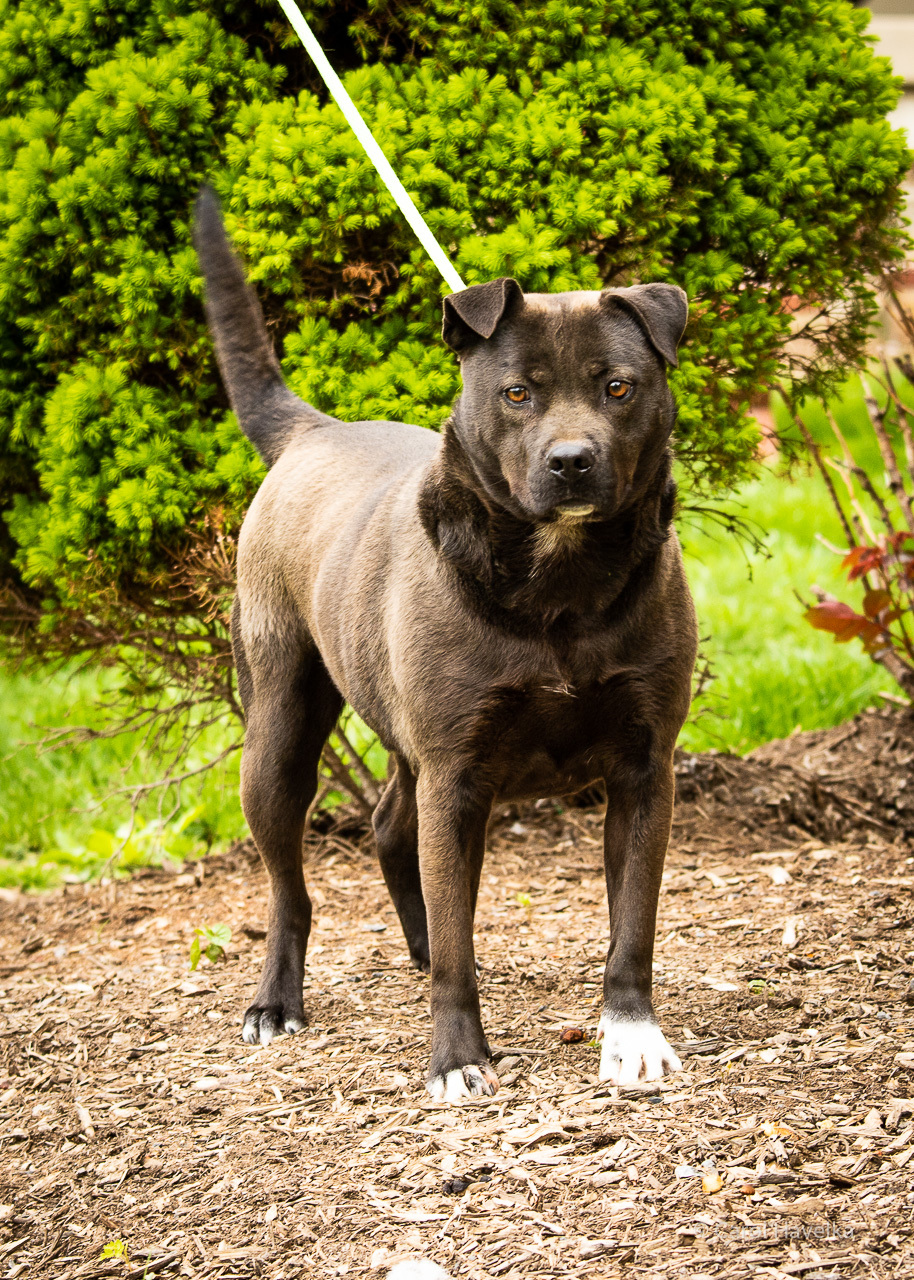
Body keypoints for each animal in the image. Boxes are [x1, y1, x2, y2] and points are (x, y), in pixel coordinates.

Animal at [190, 186, 691, 1100]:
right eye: (519, 393)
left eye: (618, 386)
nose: (572, 462)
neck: (559, 584)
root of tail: (312, 430)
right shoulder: (457, 774)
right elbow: (461, 937)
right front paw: (458, 1057)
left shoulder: (644, 769)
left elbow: (631, 925)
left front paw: (631, 1036)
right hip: (278, 734)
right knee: (291, 889)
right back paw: (277, 1000)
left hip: (400, 735)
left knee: (392, 824)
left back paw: (416, 948)